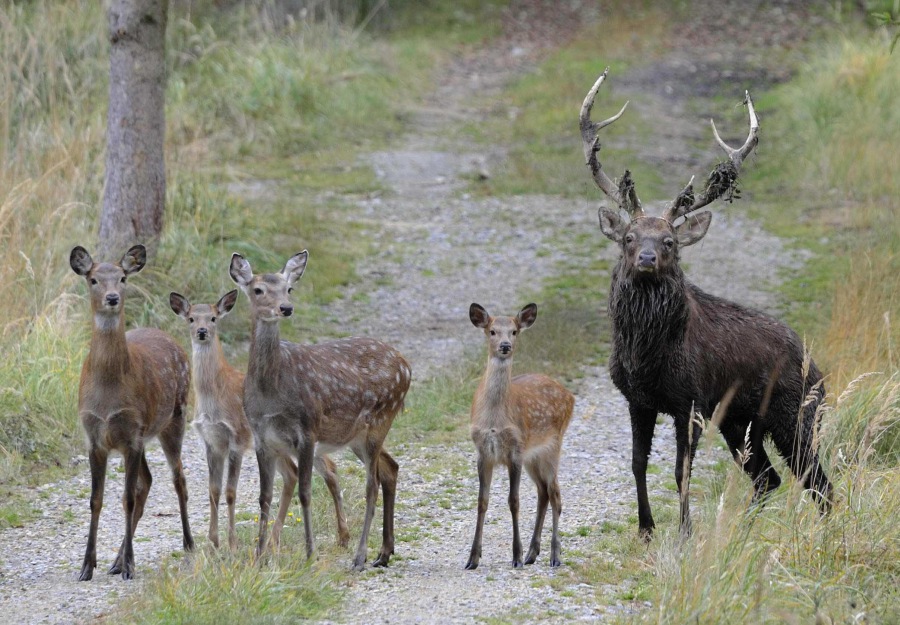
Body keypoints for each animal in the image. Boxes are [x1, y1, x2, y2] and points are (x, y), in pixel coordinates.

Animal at [69, 244, 194, 581]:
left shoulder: (133, 434)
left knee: (178, 479)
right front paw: (87, 566)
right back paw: (116, 560)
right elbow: (96, 500)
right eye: (94, 279)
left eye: (123, 278)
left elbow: (126, 498)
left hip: (174, 418)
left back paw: (189, 544)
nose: (112, 297)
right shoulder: (95, 436)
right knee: (147, 481)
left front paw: (130, 566)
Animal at [169, 290, 350, 551]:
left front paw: (232, 543)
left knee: (328, 470)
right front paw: (213, 543)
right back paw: (276, 540)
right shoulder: (211, 441)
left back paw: (341, 535)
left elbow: (230, 491)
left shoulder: (236, 437)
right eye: (191, 318)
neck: (214, 395)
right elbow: (213, 490)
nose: (202, 331)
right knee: (298, 474)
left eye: (213, 318)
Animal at [229, 250, 411, 570]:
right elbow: (264, 496)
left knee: (372, 485)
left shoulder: (308, 430)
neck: (271, 394)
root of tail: (407, 366)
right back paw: (384, 552)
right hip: (356, 436)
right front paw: (259, 556)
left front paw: (310, 554)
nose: (286, 308)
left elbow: (305, 493)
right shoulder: (262, 437)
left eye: (289, 288)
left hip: (381, 417)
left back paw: (360, 556)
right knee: (390, 468)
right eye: (258, 289)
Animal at [465, 303, 575, 570]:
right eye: (492, 331)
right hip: (532, 457)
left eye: (514, 331)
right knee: (543, 493)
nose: (505, 345)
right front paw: (473, 558)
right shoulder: (483, 452)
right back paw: (533, 553)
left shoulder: (515, 449)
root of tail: (569, 395)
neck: (494, 419)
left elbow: (513, 501)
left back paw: (554, 555)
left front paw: (515, 555)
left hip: (552, 446)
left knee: (556, 495)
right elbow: (482, 501)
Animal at [579, 68, 832, 540]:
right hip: (739, 421)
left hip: (796, 414)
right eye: (628, 237)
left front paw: (684, 531)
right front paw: (646, 529)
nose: (646, 259)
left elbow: (681, 469)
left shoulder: (691, 400)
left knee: (818, 482)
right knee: (768, 478)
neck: (647, 357)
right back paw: (738, 534)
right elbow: (637, 463)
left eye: (669, 241)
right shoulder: (637, 399)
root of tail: (820, 370)